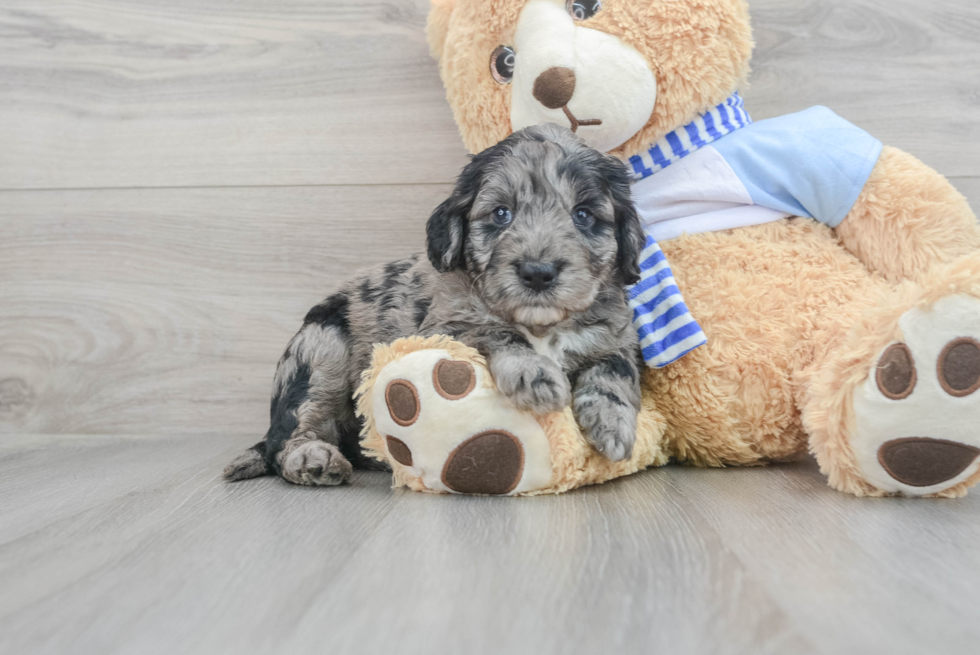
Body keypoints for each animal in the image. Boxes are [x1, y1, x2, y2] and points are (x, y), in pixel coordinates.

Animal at [225, 125, 648, 486]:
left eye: (583, 215)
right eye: (501, 213)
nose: (538, 273)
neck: (542, 325)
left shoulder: (615, 339)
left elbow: (615, 372)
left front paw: (613, 424)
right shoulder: (445, 326)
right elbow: (497, 330)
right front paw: (535, 375)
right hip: (320, 350)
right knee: (288, 436)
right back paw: (313, 459)